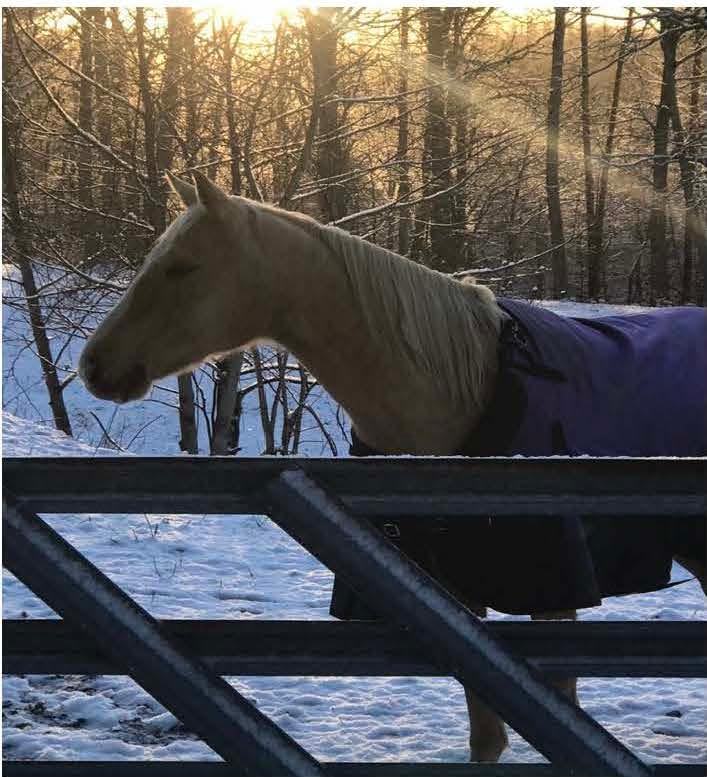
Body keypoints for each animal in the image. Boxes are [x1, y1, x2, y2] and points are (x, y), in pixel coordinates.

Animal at [79, 170, 707, 763]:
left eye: (183, 267)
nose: (94, 365)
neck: (462, 391)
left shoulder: (553, 592)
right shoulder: (451, 596)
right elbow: (488, 734)